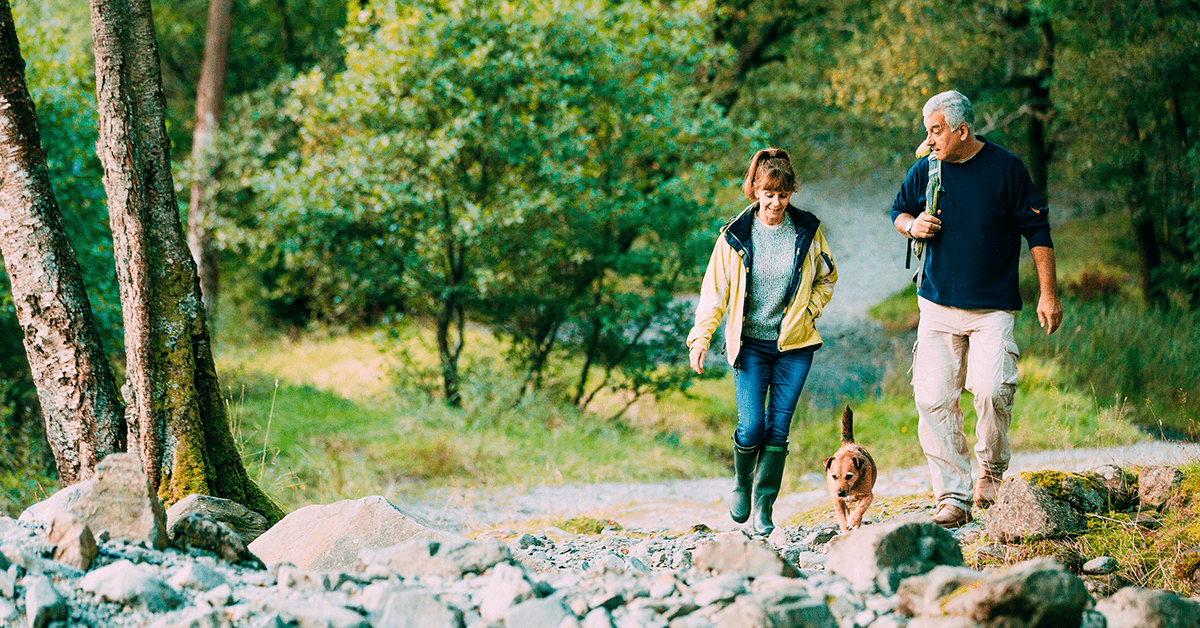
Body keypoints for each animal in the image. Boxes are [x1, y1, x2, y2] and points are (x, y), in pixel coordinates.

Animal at [820, 405, 878, 533]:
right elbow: (842, 520)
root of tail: (848, 443)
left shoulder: (868, 496)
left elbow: (860, 510)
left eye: (849, 476)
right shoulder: (837, 501)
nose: (840, 493)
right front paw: (846, 531)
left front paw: (853, 520)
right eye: (834, 476)